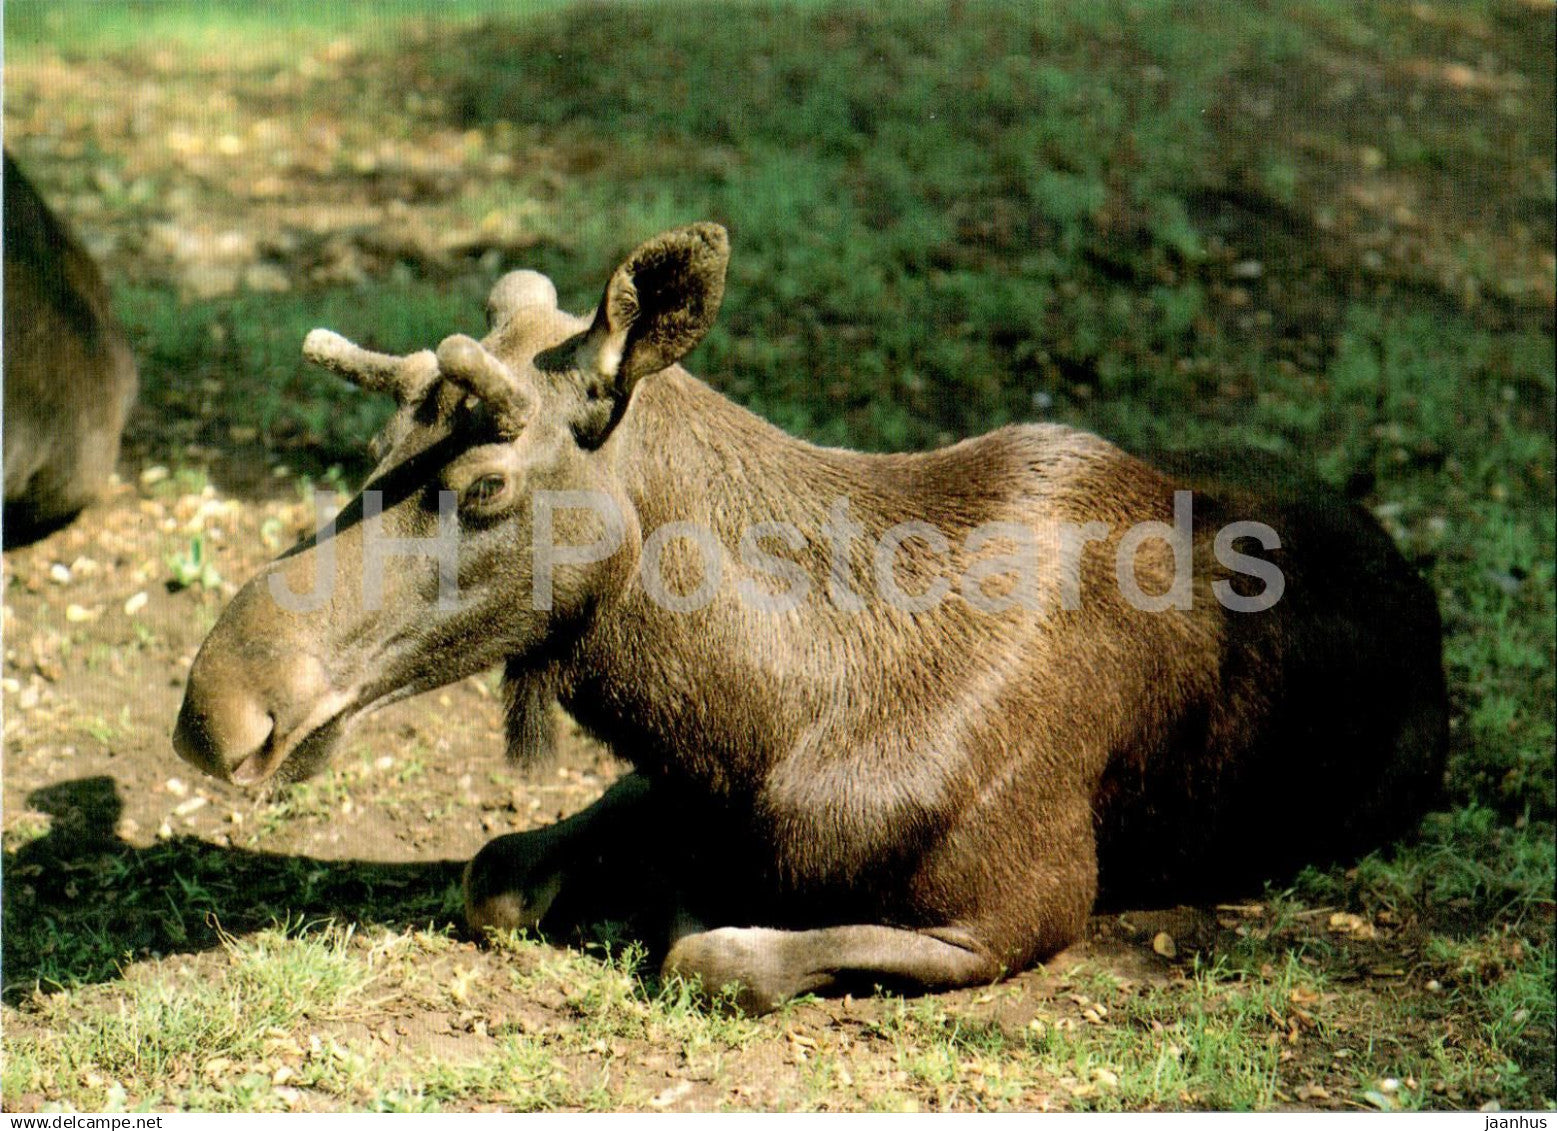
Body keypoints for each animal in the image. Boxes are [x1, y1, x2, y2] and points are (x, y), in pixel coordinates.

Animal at [173, 223, 1447, 1013]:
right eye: (381, 444)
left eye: (485, 483)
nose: (216, 709)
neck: (774, 714)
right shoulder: (674, 770)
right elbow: (492, 870)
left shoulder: (1022, 912)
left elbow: (716, 955)